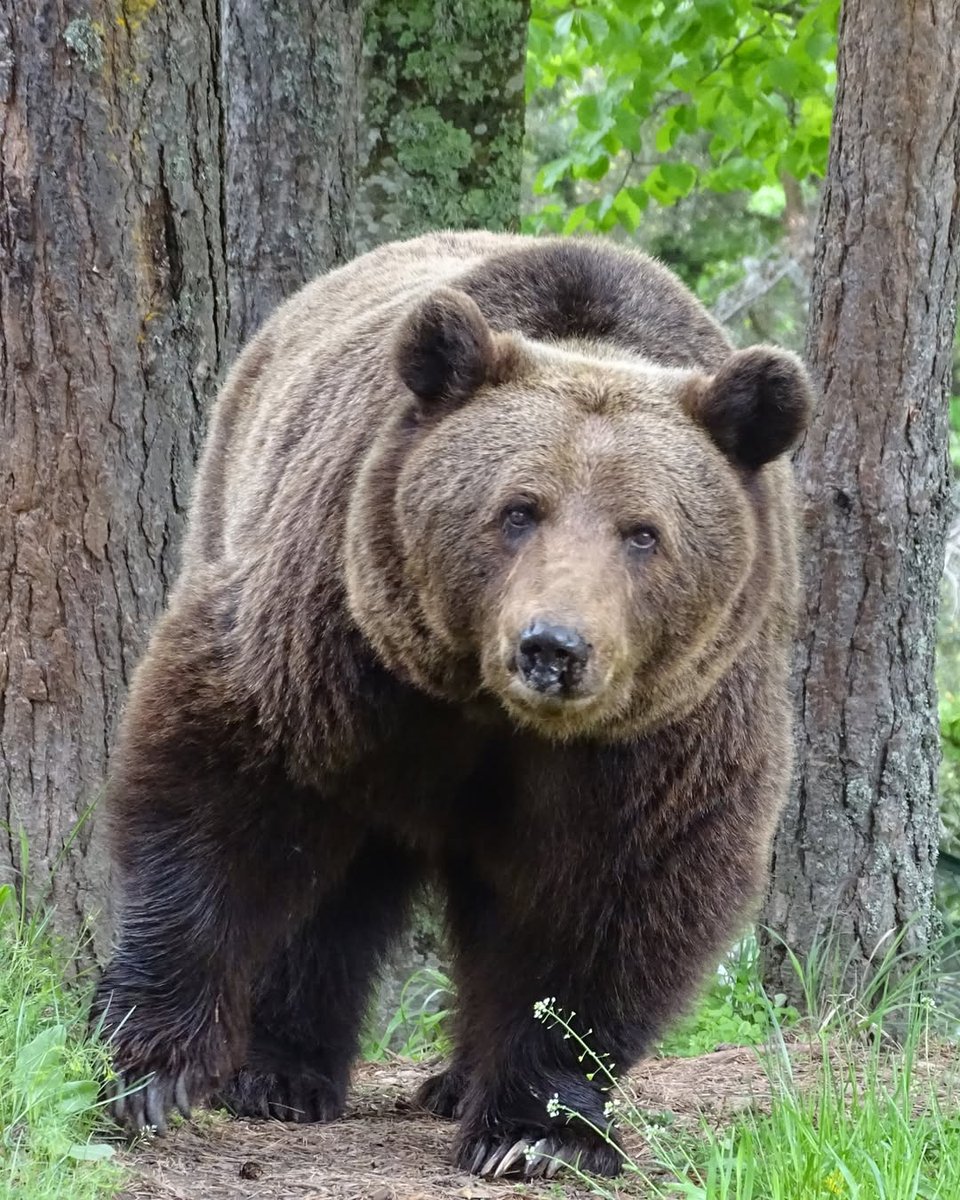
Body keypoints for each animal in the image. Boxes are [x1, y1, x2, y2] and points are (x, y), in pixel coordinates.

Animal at [92, 230, 812, 1180]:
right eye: (518, 509)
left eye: (643, 533)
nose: (553, 647)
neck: (492, 715)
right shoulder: (337, 639)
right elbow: (219, 793)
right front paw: (149, 1070)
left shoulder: (667, 732)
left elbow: (615, 897)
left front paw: (537, 1130)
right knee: (335, 887)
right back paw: (280, 1072)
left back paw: (454, 1082)